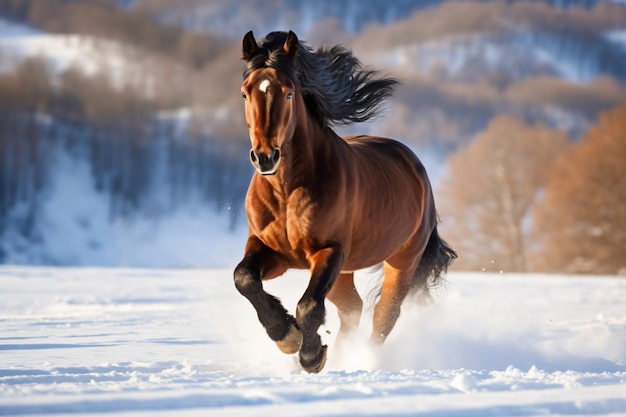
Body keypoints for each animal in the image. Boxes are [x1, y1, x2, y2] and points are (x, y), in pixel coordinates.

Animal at [232, 30, 456, 372]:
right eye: (245, 94)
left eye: (288, 93)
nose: (266, 156)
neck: (288, 192)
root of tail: (416, 167)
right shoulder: (269, 249)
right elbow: (244, 279)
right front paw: (287, 337)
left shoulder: (330, 251)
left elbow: (309, 306)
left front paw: (310, 355)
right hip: (344, 274)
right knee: (353, 309)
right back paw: (337, 354)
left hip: (401, 262)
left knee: (383, 315)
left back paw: (363, 359)